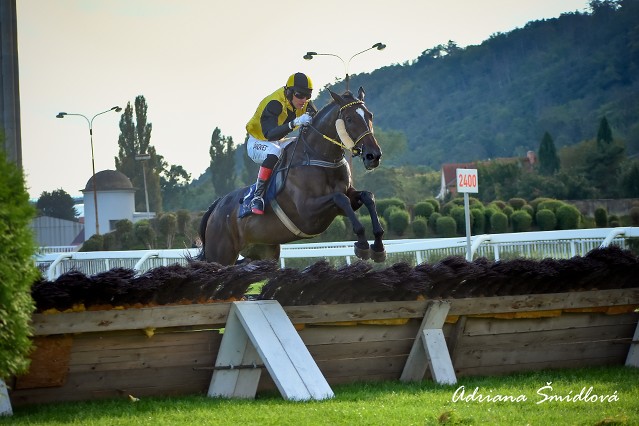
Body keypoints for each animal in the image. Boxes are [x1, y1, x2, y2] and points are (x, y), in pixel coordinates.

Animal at [196, 87, 384, 266]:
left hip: (264, 251)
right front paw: (362, 243)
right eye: (349, 119)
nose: (373, 155)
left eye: (370, 115)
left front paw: (378, 244)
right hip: (221, 254)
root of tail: (216, 206)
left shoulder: (345, 199)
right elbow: (340, 198)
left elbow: (367, 196)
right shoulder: (307, 212)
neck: (318, 156)